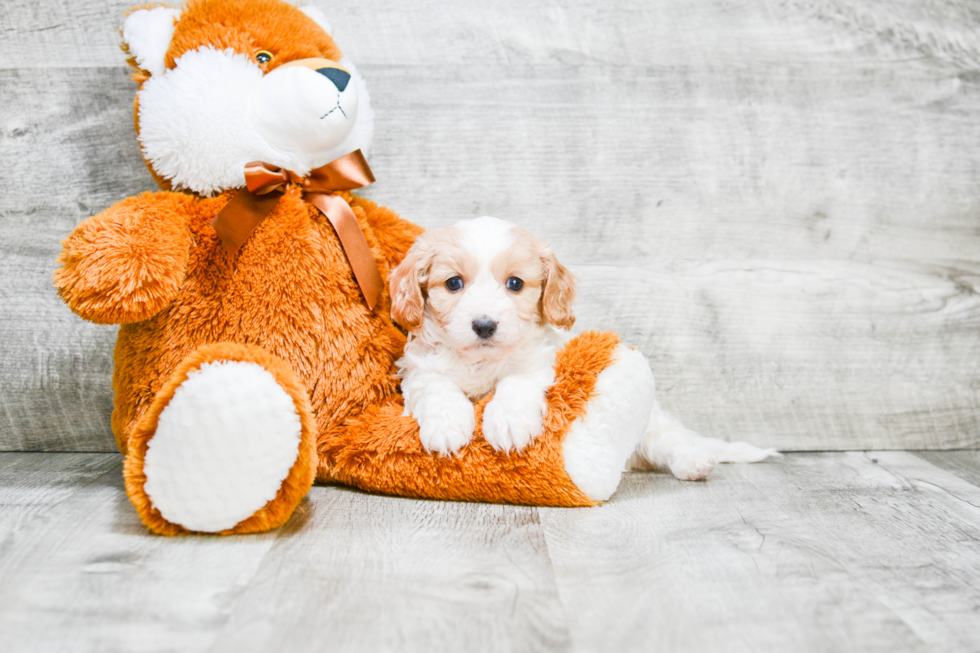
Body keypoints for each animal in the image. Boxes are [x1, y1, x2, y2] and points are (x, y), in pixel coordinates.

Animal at [386, 216, 776, 476]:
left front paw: (508, 422)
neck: (481, 361)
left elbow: (516, 382)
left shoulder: (540, 361)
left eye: (515, 284)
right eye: (453, 283)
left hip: (654, 426)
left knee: (670, 438)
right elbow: (438, 389)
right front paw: (447, 426)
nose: (484, 325)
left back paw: (694, 461)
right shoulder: (420, 368)